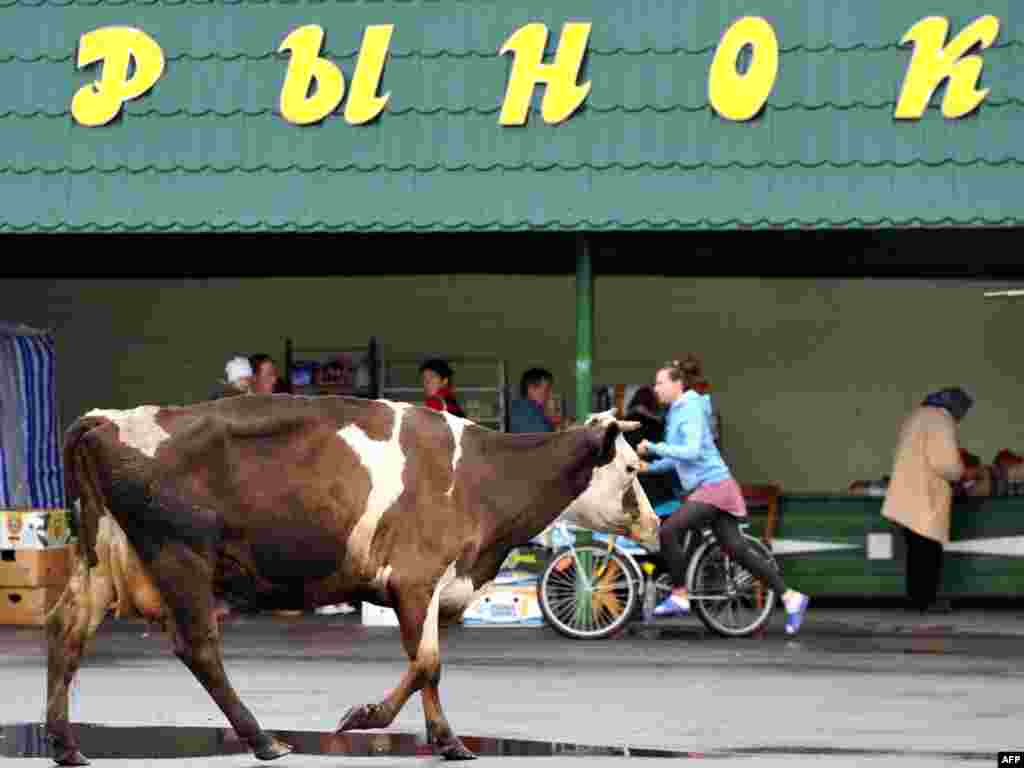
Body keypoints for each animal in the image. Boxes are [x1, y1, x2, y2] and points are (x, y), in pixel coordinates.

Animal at [44, 393, 655, 765]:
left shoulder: (441, 587)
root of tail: (109, 418)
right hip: (181, 554)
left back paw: (64, 744)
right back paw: (264, 740)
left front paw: (447, 740)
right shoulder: (415, 577)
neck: (484, 478)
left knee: (67, 632)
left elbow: (429, 664)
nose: (652, 524)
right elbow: (426, 662)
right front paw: (365, 718)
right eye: (631, 469)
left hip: (101, 558)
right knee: (198, 647)